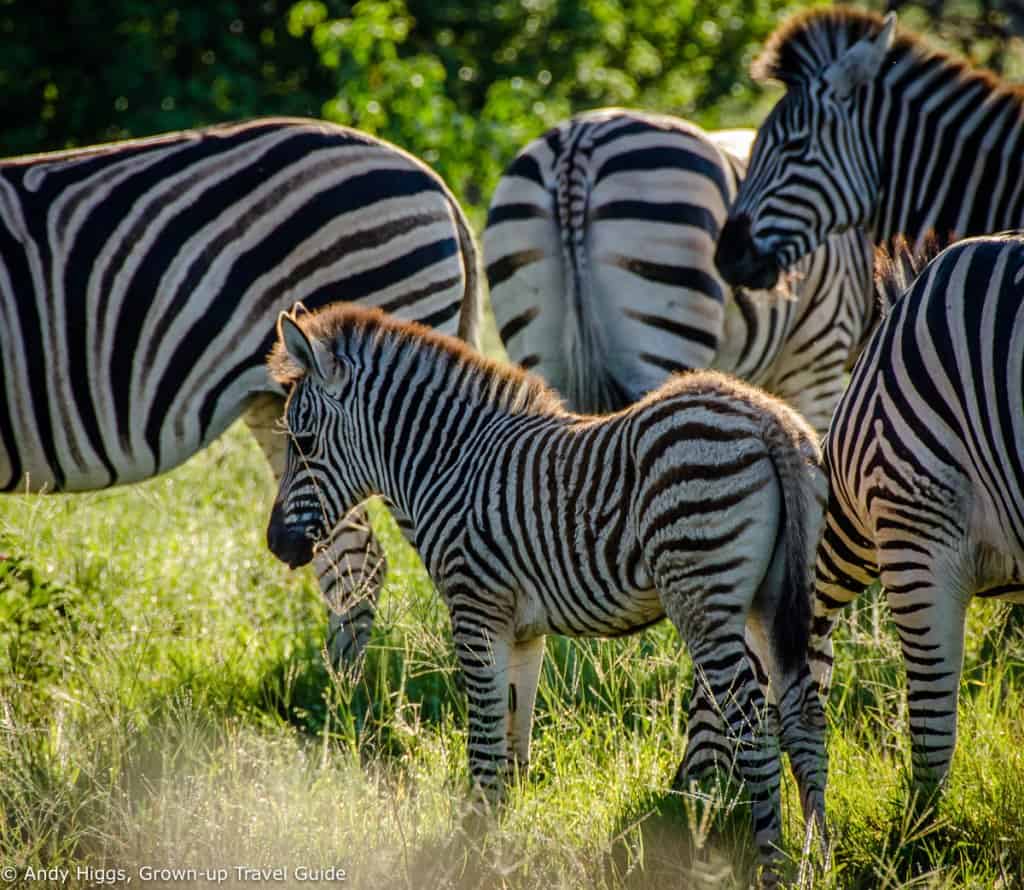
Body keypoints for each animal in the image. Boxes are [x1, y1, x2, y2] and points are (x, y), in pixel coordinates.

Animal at [264, 302, 829, 878]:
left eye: (302, 443)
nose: (275, 544)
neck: (449, 463)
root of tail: (766, 418)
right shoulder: (523, 632)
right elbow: (514, 743)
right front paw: (500, 844)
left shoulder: (476, 610)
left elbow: (485, 743)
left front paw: (470, 850)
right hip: (783, 602)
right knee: (805, 719)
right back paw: (816, 860)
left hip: (703, 599)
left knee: (756, 730)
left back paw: (772, 865)